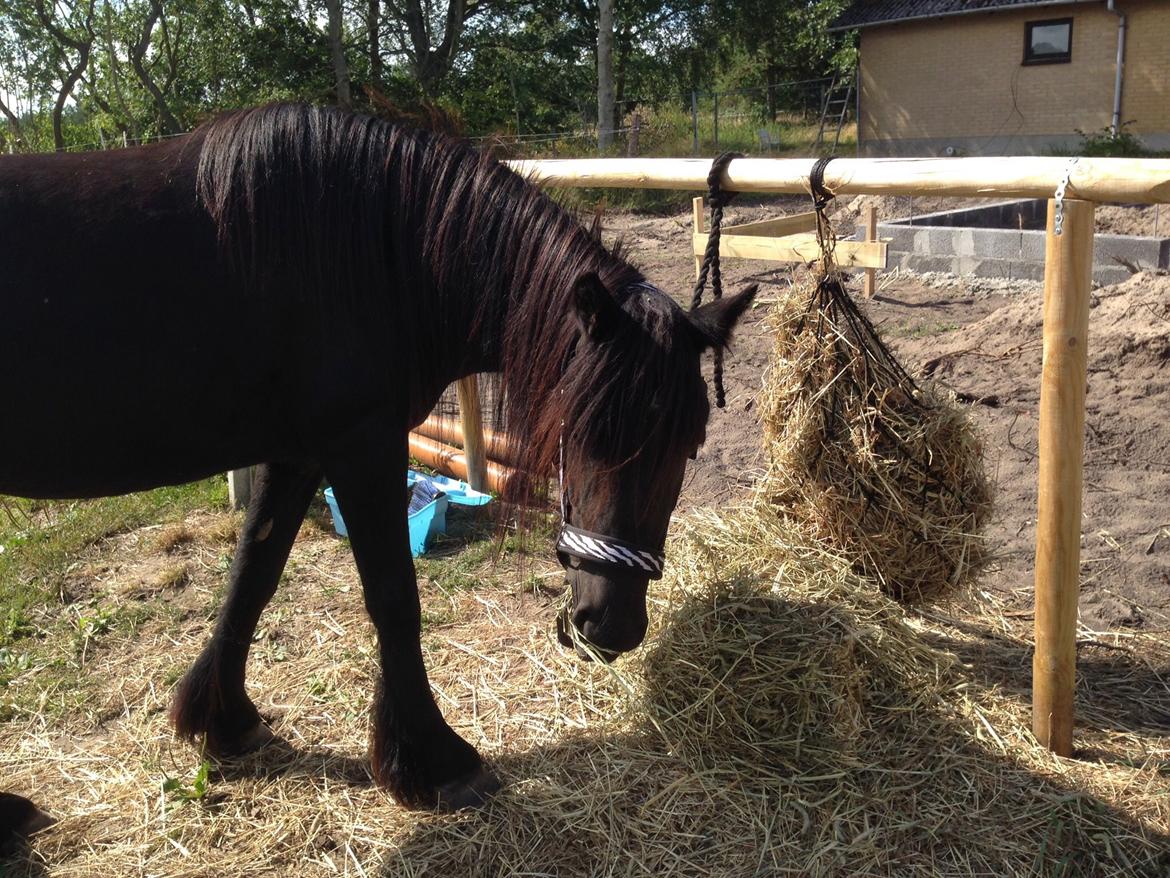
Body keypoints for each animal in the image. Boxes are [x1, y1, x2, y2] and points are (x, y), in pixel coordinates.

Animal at [0, 103, 756, 821]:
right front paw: (435, 761)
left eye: (690, 444)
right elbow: (393, 598)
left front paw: (225, 721)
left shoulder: (298, 450)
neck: (374, 252)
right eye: (584, 430)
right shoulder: (362, 443)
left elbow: (253, 574)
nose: (612, 627)